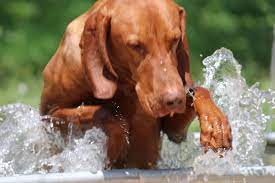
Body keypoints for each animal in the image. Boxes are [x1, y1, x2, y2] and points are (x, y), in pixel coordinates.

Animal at [40, 0, 232, 169]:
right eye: (135, 45)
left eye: (175, 40)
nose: (174, 100)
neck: (124, 85)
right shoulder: (50, 115)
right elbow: (105, 114)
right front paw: (116, 146)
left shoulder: (174, 130)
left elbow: (199, 91)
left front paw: (215, 124)